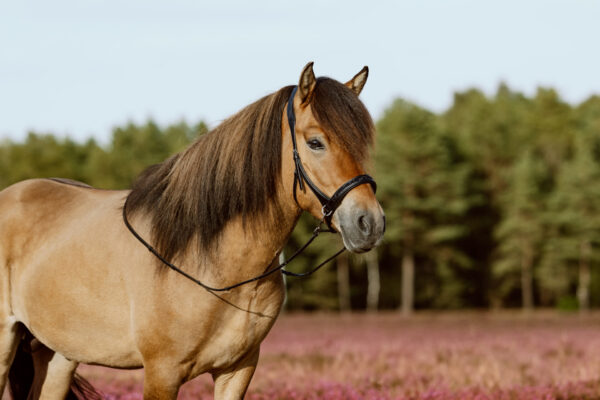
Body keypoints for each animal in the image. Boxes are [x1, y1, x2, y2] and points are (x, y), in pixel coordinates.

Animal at [0, 63, 384, 400]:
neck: (215, 263)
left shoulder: (237, 370)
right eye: (316, 142)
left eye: (362, 142)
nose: (370, 223)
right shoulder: (162, 374)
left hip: (58, 355)